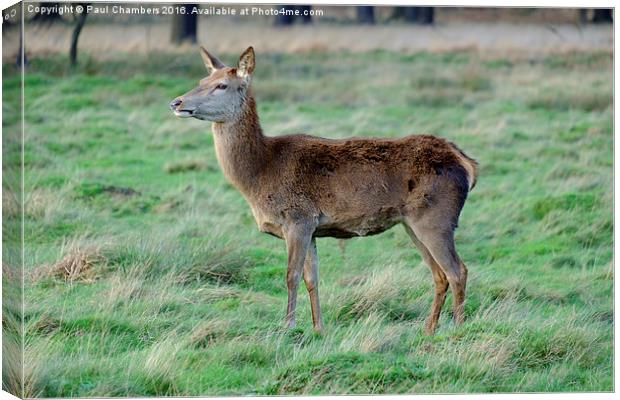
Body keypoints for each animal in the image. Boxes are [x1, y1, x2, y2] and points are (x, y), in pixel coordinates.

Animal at [170, 46, 480, 334]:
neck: (258, 175)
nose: (176, 101)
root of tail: (467, 163)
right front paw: (319, 327)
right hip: (411, 222)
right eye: (202, 79)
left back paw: (457, 328)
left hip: (436, 217)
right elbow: (312, 278)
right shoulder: (313, 227)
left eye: (222, 85)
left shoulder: (298, 218)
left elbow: (291, 275)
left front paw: (289, 326)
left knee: (457, 270)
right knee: (439, 275)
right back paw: (429, 329)